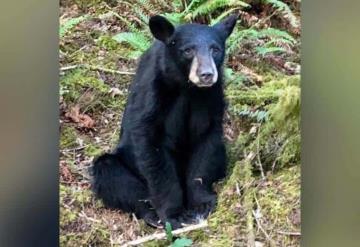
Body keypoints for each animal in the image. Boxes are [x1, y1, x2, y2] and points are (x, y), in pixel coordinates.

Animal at [91, 14, 238, 229]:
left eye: (216, 49)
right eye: (188, 50)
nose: (207, 75)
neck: (187, 88)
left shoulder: (211, 97)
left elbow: (206, 143)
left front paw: (201, 204)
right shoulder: (153, 93)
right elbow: (152, 147)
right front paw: (173, 214)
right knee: (110, 173)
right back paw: (151, 213)